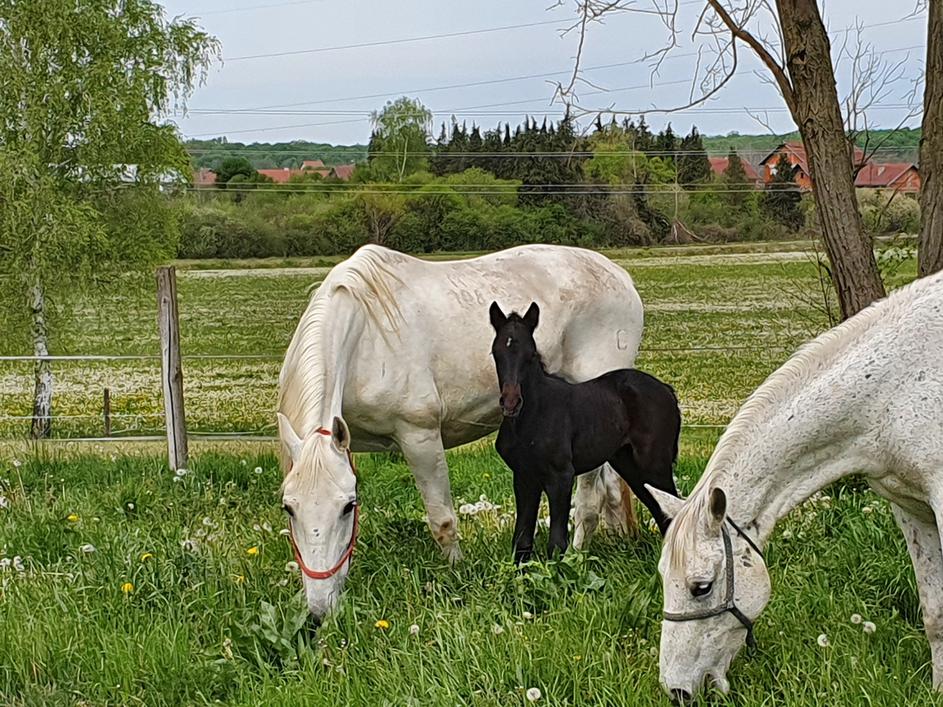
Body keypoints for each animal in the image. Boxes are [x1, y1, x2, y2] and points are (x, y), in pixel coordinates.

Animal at [278, 243, 648, 620]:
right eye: (288, 508)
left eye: (347, 507)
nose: (319, 610)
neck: (367, 335)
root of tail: (620, 277)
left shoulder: (420, 436)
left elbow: (442, 520)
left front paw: (456, 574)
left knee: (589, 498)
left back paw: (577, 553)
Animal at [490, 302, 684, 564]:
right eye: (496, 353)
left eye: (531, 355)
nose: (511, 403)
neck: (532, 416)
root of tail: (667, 390)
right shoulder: (524, 477)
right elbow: (522, 540)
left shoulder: (561, 476)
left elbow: (557, 543)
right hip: (628, 464)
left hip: (654, 464)